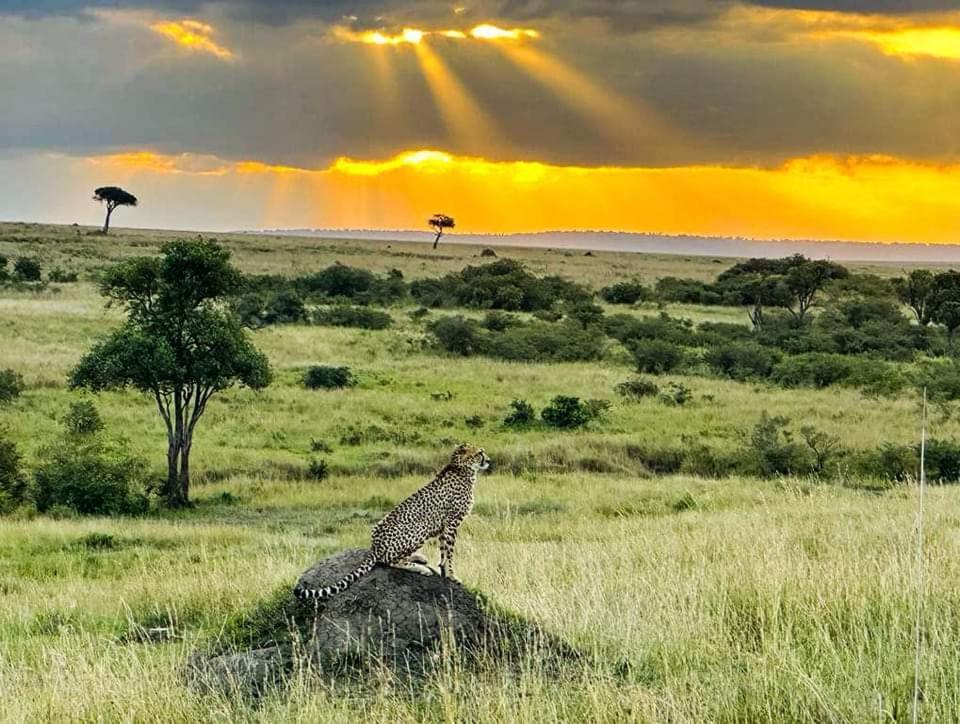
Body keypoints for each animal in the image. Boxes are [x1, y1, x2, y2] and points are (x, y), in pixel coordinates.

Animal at [290, 444, 488, 604]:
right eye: (480, 453)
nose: (489, 460)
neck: (461, 468)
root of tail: (374, 545)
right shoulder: (452, 523)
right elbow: (450, 553)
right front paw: (453, 576)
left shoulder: (444, 526)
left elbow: (443, 552)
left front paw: (444, 571)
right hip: (418, 529)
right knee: (390, 561)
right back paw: (421, 568)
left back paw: (418, 558)